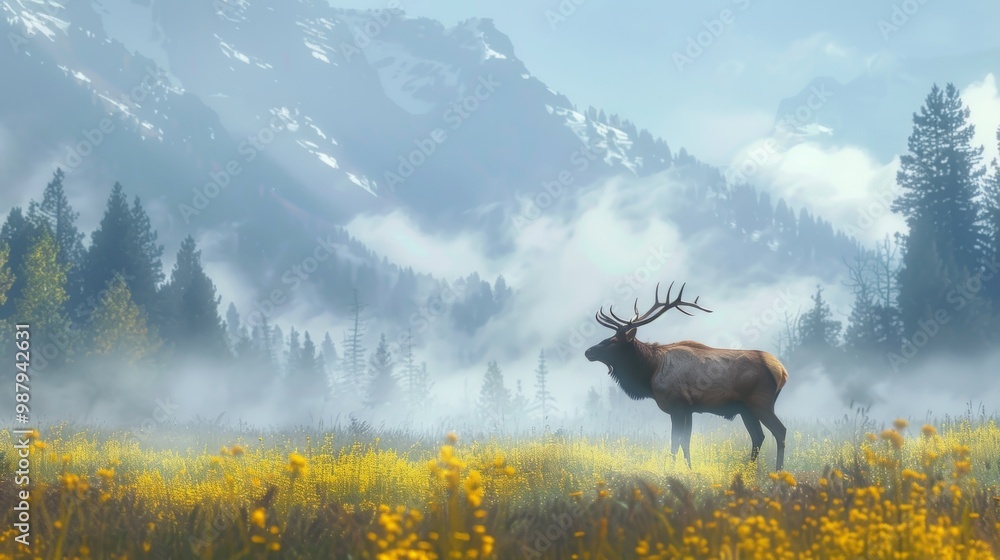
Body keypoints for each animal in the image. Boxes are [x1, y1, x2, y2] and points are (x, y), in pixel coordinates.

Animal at [584, 282, 789, 471]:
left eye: (613, 341)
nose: (588, 352)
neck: (650, 371)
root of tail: (781, 370)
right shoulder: (689, 409)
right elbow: (686, 443)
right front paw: (689, 470)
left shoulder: (677, 406)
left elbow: (676, 443)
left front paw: (673, 471)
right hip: (746, 409)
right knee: (758, 436)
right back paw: (748, 472)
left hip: (760, 402)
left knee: (780, 431)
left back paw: (778, 472)